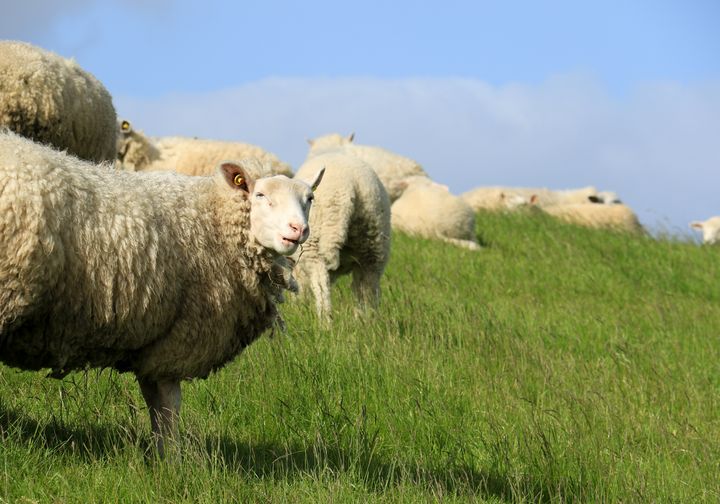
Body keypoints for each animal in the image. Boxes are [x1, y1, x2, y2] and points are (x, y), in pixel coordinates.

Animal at [0, 131, 324, 456]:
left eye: (309, 199)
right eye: (260, 196)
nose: (298, 229)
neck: (214, 218)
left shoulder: (154, 344)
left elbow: (155, 405)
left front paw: (160, 456)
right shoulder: (178, 339)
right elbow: (168, 406)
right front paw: (172, 458)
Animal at [292, 152, 394, 320]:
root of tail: (351, 185)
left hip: (316, 247)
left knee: (322, 288)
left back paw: (325, 321)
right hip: (373, 247)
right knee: (367, 291)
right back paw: (367, 321)